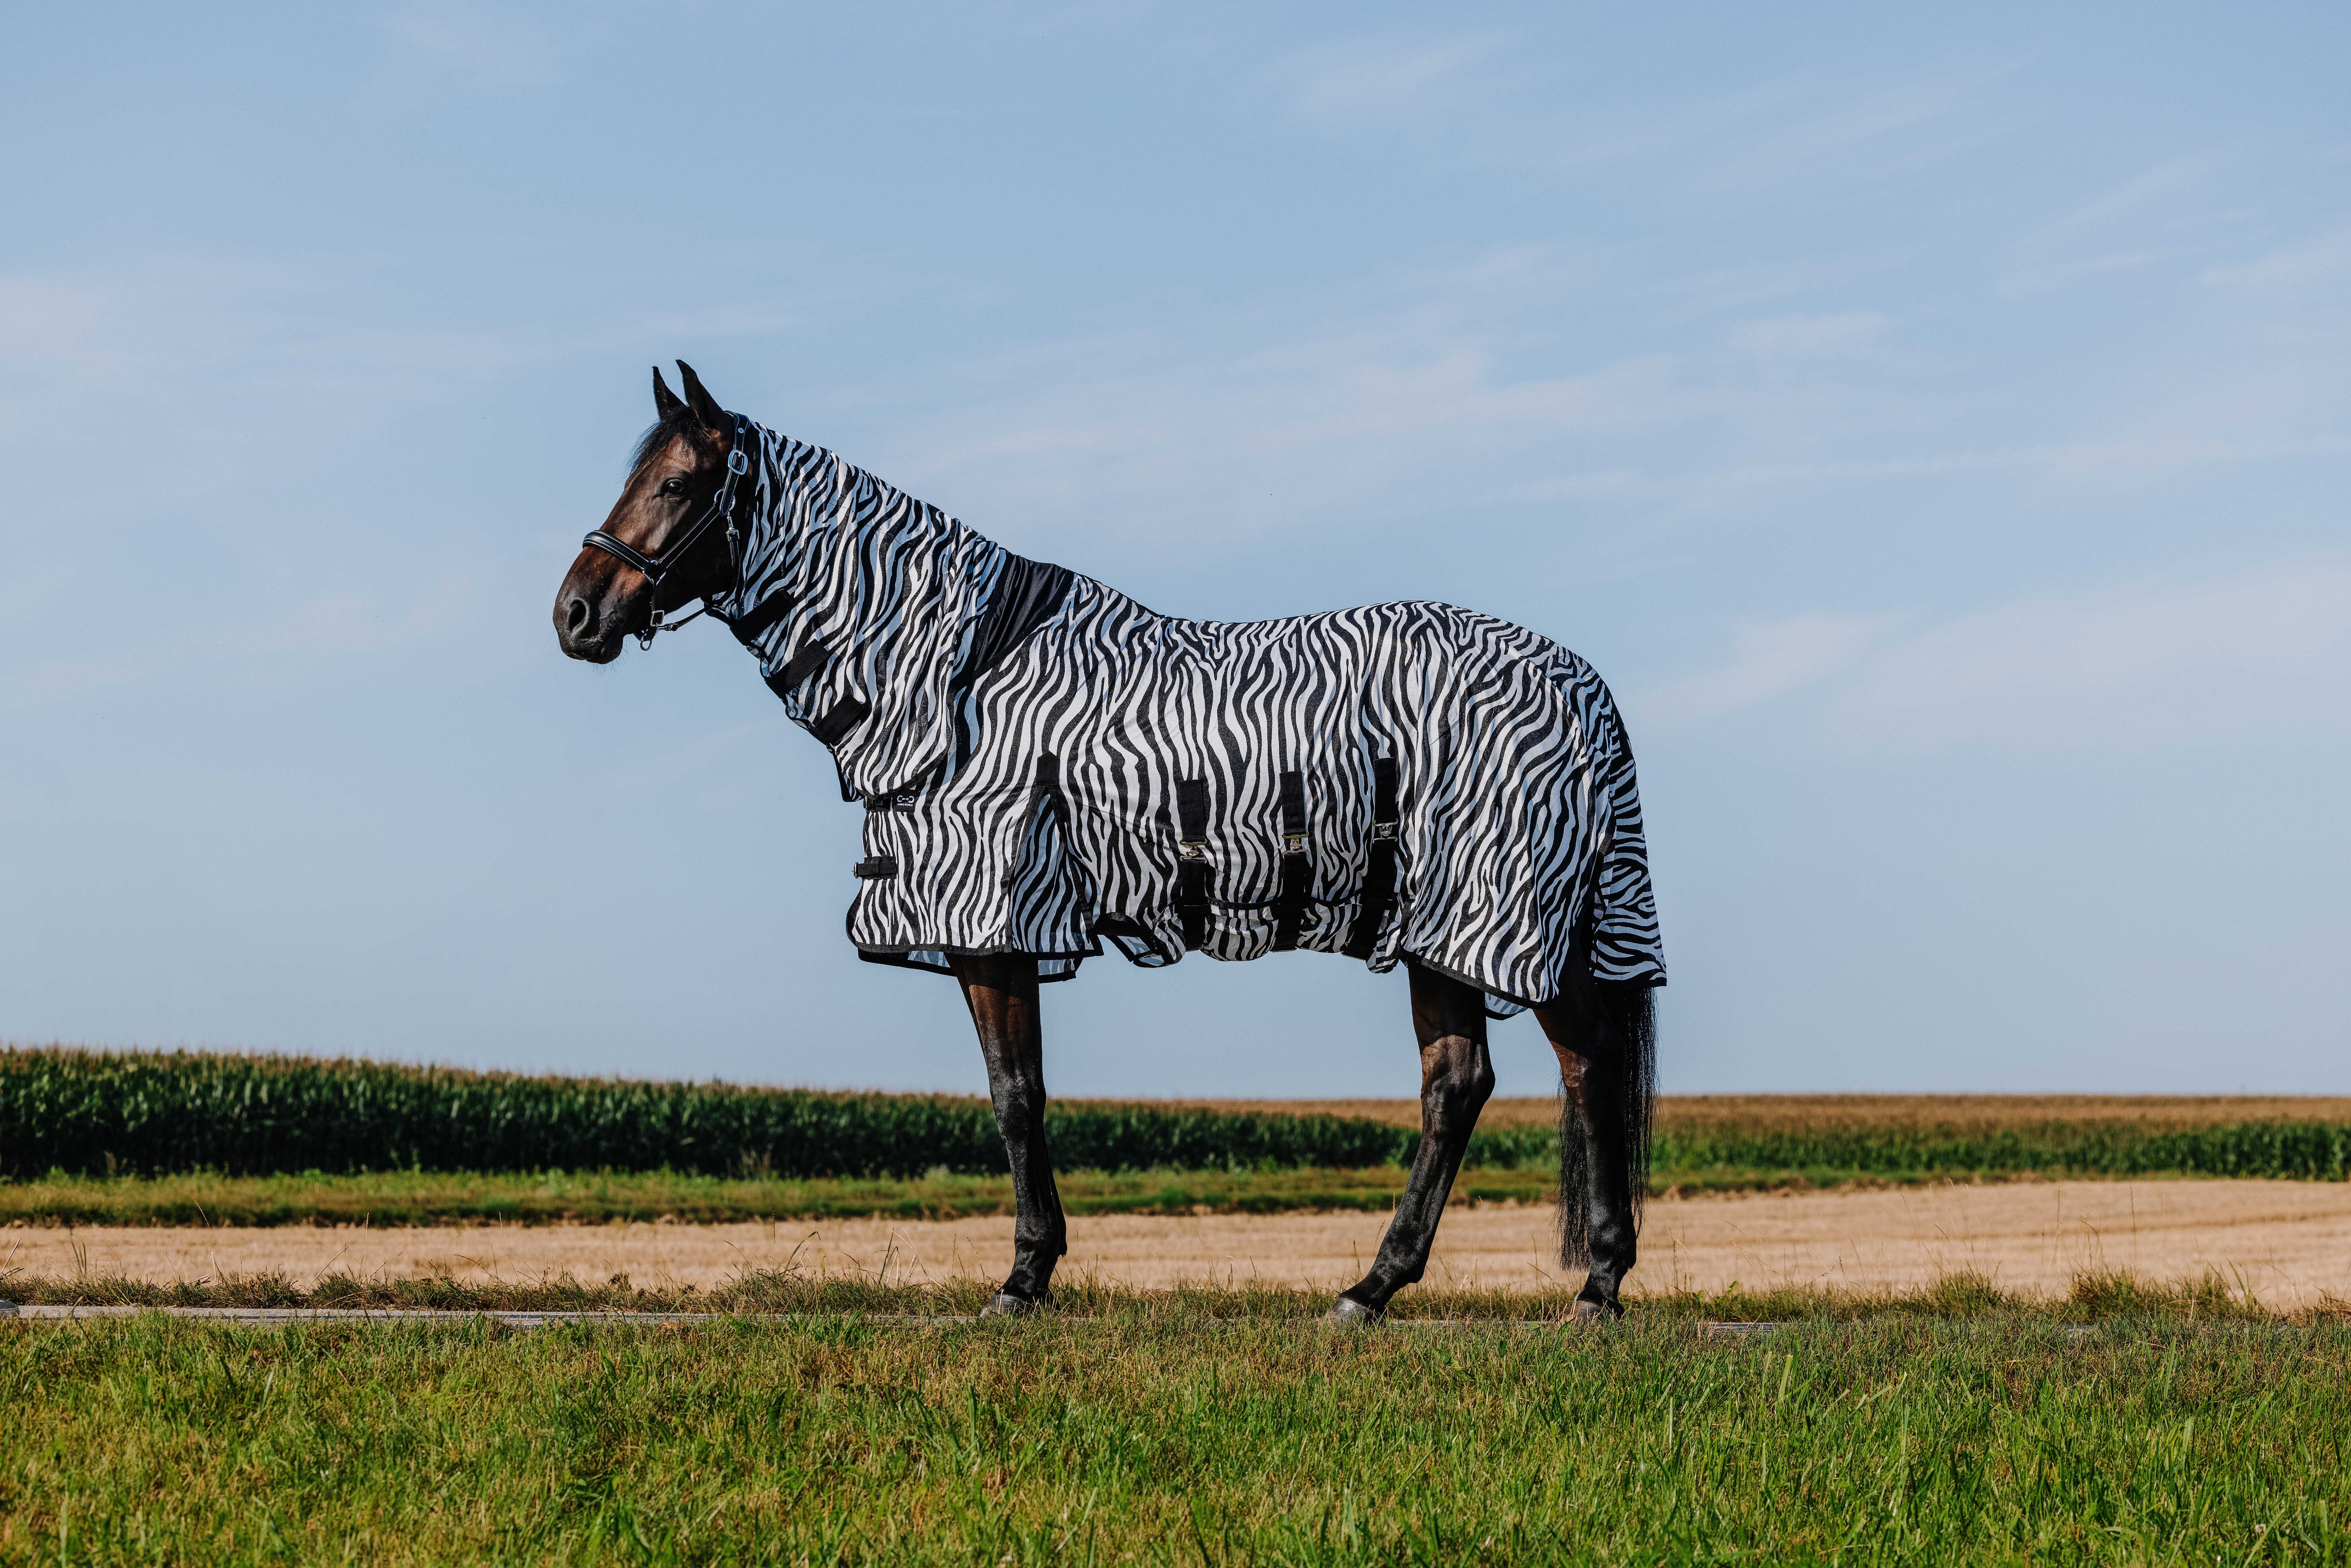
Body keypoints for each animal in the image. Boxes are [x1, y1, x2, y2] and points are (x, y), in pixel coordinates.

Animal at [555, 362, 1665, 1324]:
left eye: (677, 482)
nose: (576, 613)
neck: (959, 676)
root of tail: (1579, 680)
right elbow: (1023, 1093)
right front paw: (1034, 1269)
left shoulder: (995, 924)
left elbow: (1016, 1097)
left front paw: (1023, 1278)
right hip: (1438, 930)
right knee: (1459, 1085)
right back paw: (1376, 1288)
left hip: (1496, 915)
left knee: (1581, 1066)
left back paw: (1592, 1286)